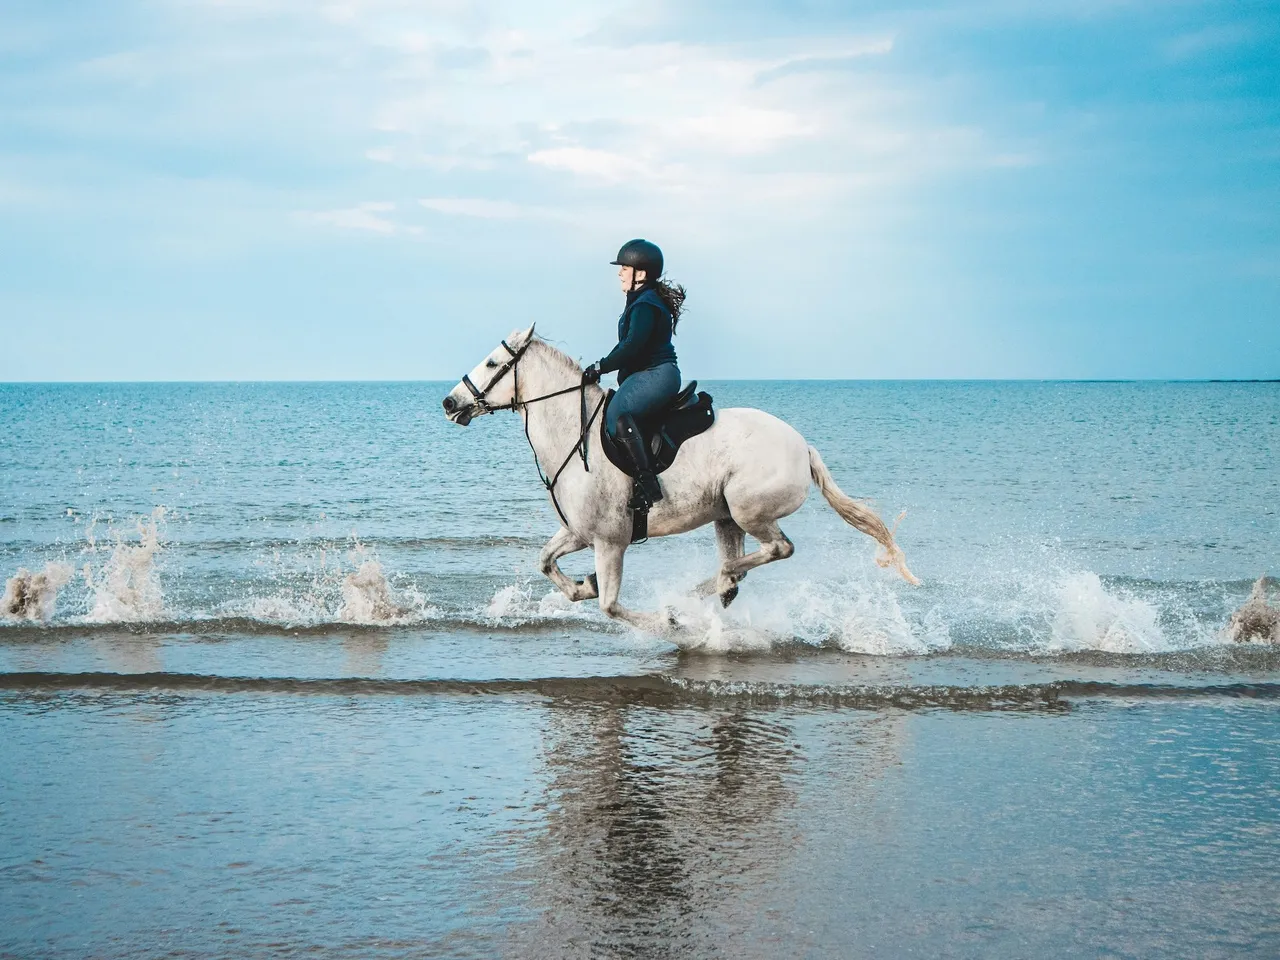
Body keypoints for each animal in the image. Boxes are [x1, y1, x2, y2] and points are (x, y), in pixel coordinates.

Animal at [442, 326, 920, 634]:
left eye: (493, 362)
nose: (450, 402)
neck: (575, 436)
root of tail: (803, 447)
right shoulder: (579, 532)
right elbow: (546, 562)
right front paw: (581, 586)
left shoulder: (610, 541)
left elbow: (610, 606)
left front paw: (666, 620)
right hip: (726, 518)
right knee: (742, 561)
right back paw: (717, 588)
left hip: (749, 510)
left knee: (777, 549)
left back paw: (703, 591)